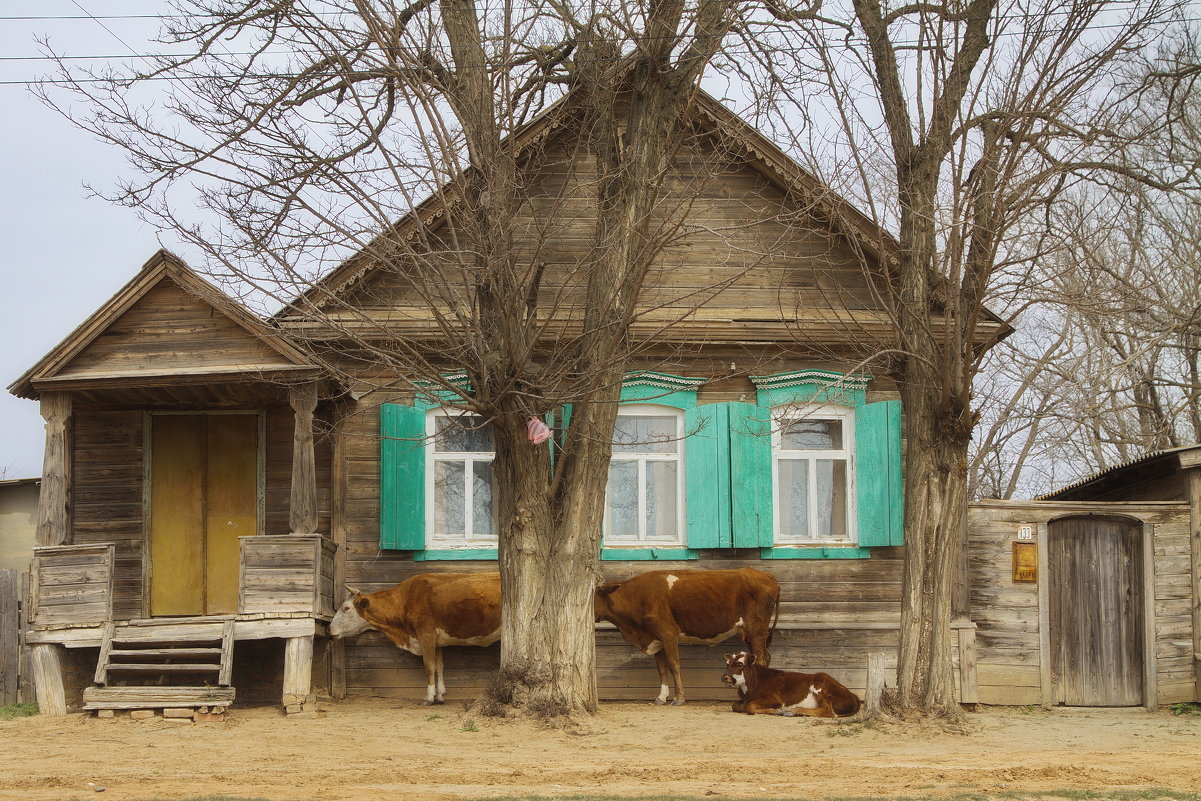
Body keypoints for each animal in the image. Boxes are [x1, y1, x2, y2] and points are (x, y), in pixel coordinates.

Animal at [326, 574, 499, 706]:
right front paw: (440, 696)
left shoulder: (426, 635)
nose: (328, 629)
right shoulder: (437, 643)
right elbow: (439, 667)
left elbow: (429, 666)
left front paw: (429, 697)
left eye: (346, 608)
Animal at [595, 566, 783, 706]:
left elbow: (673, 665)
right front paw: (661, 697)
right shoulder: (656, 638)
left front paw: (678, 698)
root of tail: (766, 575)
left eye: (592, 596)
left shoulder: (668, 633)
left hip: (757, 630)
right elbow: (661, 669)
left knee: (761, 659)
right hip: (750, 634)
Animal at [720, 653, 864, 720]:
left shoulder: (775, 698)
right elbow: (735, 705)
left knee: (828, 710)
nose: (725, 677)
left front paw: (777, 710)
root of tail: (854, 695)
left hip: (820, 685)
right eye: (727, 663)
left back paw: (795, 710)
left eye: (740, 664)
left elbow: (750, 706)